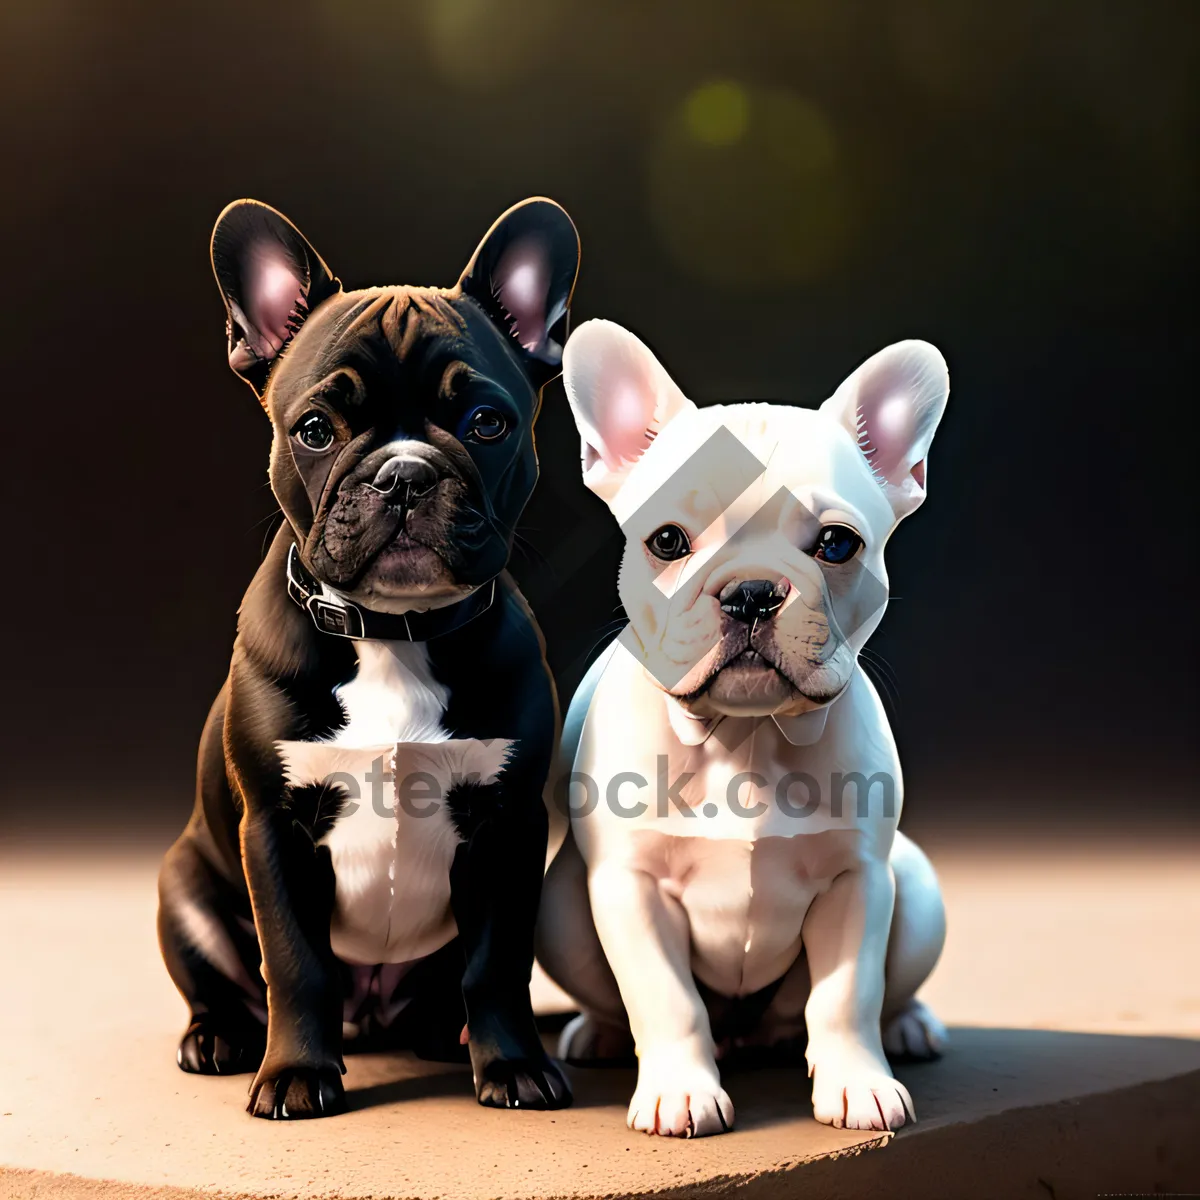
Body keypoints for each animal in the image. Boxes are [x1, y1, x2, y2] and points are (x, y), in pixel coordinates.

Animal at [540, 319, 950, 1132]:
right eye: (668, 541)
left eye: (837, 544)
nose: (753, 591)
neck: (747, 738)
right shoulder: (631, 887)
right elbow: (666, 998)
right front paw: (679, 1091)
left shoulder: (859, 882)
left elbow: (846, 997)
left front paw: (859, 1083)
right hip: (560, 914)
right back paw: (600, 1034)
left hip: (917, 891)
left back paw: (911, 1025)